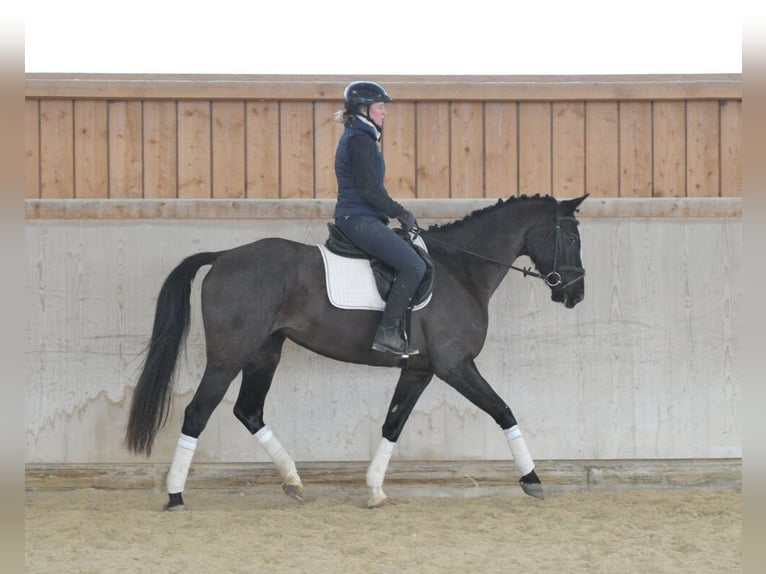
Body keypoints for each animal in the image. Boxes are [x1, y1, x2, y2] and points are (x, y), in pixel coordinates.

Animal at [125, 193, 587, 510]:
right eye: (572, 237)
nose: (575, 294)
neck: (461, 271)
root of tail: (222, 257)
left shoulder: (419, 370)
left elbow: (392, 425)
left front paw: (376, 489)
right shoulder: (455, 366)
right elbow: (504, 410)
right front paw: (532, 479)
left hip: (264, 353)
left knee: (249, 411)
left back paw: (293, 482)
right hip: (228, 357)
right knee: (197, 414)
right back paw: (176, 495)